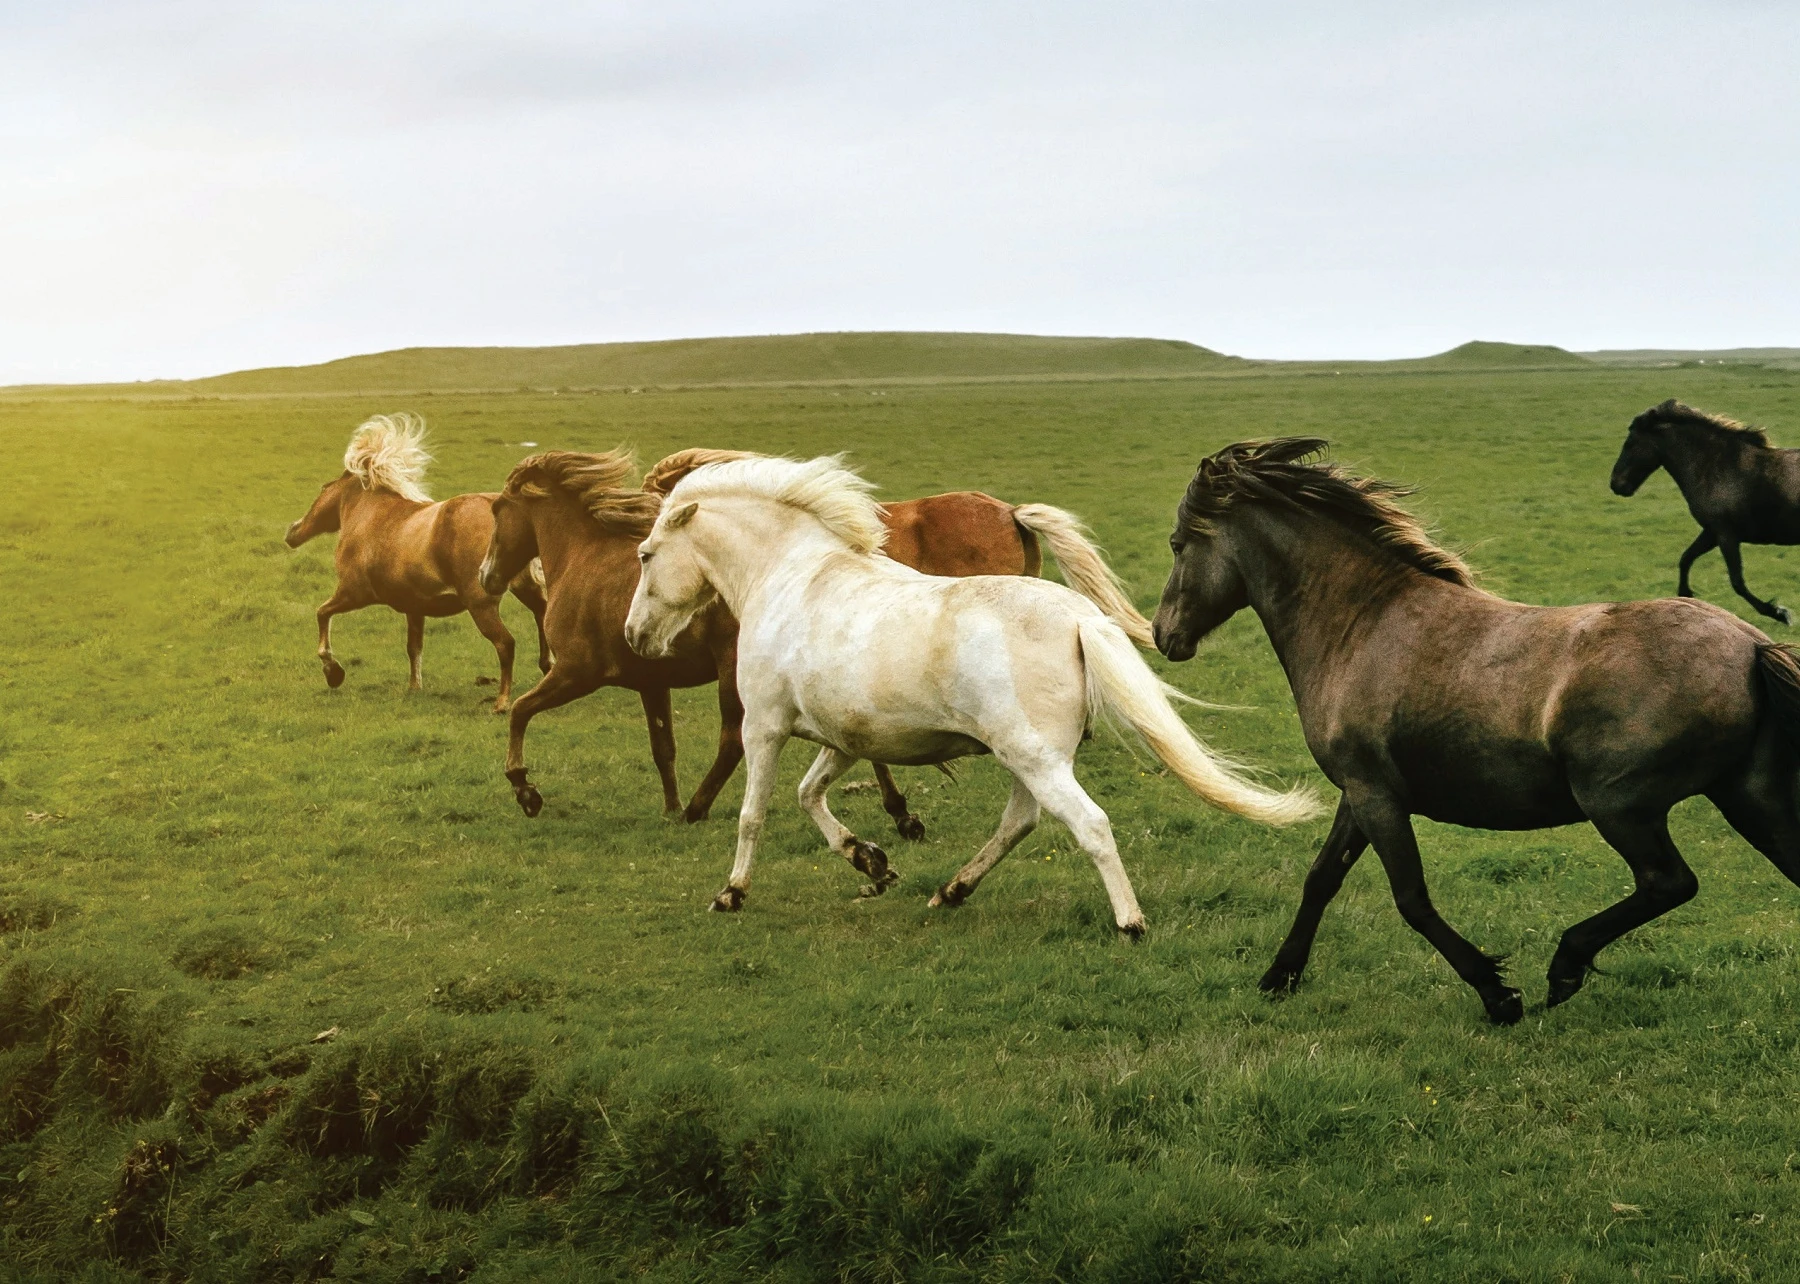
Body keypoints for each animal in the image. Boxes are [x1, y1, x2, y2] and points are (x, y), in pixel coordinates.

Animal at [284, 414, 550, 713]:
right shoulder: (414, 607)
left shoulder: (353, 593)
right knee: (542, 619)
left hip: (481, 604)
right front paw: (414, 688)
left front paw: (333, 672)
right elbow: (414, 648)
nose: (292, 533)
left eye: (323, 488)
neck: (369, 516)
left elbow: (322, 613)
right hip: (526, 589)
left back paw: (502, 702)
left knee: (506, 643)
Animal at [483, 447, 1158, 832]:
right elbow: (662, 747)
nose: (488, 576)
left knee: (732, 737)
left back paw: (704, 808)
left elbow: (520, 712)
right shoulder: (650, 680)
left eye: (496, 511)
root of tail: (1010, 509)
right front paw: (670, 805)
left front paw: (525, 791)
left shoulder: (579, 669)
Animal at [623, 454, 1318, 929]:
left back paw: (1130, 922)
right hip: (1029, 759)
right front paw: (871, 862)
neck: (793, 575)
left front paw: (731, 893)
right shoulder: (841, 739)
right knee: (1020, 822)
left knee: (1088, 823)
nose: (634, 635)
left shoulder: (763, 726)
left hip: (1034, 758)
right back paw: (952, 890)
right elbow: (809, 797)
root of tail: (1079, 618)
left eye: (646, 554)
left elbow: (753, 815)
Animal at [1152, 437, 1800, 1024]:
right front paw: (1278, 977)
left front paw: (1498, 995)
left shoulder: (1377, 797)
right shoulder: (1358, 793)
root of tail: (1751, 644)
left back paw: (1564, 967)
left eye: (1178, 544)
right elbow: (1321, 879)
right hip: (1748, 799)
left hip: (1619, 805)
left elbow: (1411, 899)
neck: (1360, 624)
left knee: (1667, 882)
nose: (1163, 635)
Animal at [1611, 399, 1800, 626]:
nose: (1616, 484)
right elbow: (1686, 558)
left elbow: (1737, 582)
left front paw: (1779, 613)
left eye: (1630, 443)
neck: (1717, 467)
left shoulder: (1726, 534)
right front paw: (1685, 597)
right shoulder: (1711, 532)